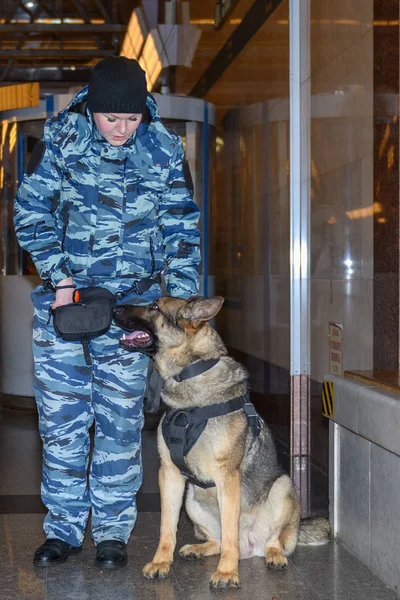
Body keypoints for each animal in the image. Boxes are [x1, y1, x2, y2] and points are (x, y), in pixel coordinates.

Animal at [111, 296, 328, 584]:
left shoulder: (227, 477)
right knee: (217, 540)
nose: (114, 307)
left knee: (272, 541)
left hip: (283, 488)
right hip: (192, 499)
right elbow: (167, 527)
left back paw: (273, 556)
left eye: (155, 307)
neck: (189, 375)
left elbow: (229, 532)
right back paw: (199, 549)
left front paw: (226, 571)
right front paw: (161, 562)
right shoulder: (169, 474)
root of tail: (250, 549)